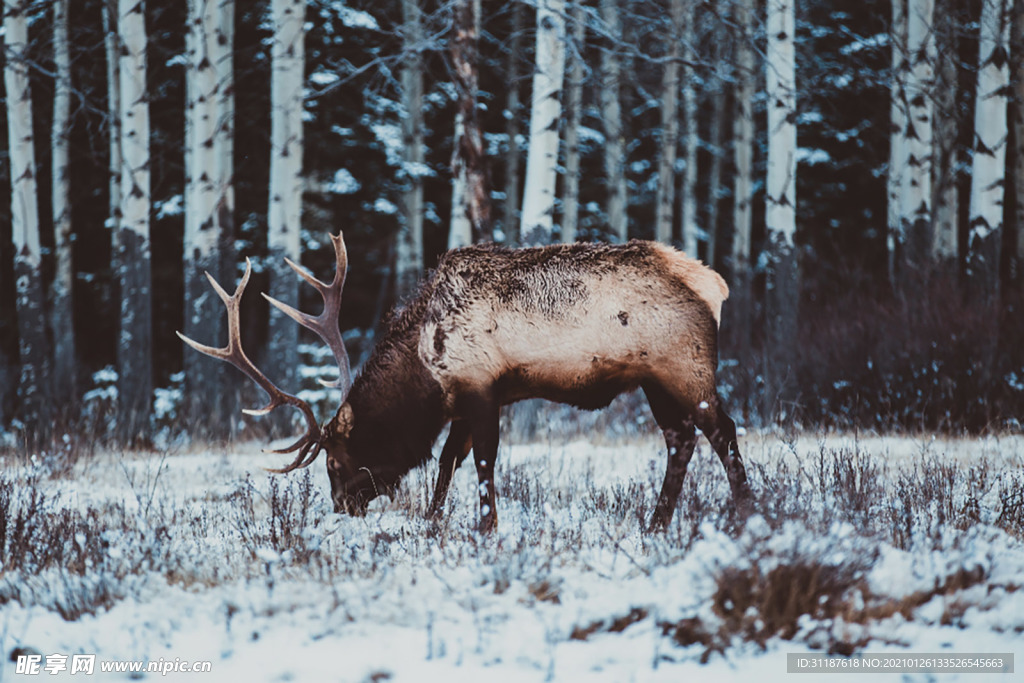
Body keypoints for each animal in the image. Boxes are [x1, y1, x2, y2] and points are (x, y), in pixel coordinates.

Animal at [178, 232, 753, 532]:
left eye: (337, 461)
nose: (342, 508)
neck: (423, 367)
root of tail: (716, 285)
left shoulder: (482, 388)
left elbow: (480, 461)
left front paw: (484, 525)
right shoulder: (462, 400)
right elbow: (448, 460)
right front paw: (433, 522)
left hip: (685, 368)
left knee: (722, 431)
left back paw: (745, 511)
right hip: (655, 381)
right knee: (681, 440)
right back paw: (656, 522)